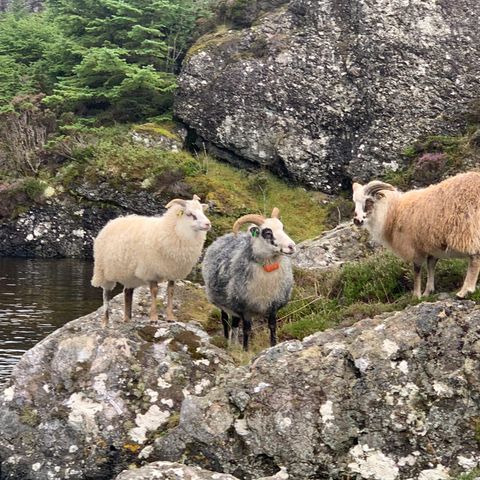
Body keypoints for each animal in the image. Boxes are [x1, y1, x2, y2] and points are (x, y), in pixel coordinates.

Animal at [91, 193, 210, 324]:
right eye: (190, 214)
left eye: (202, 211)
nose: (208, 224)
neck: (171, 230)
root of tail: (114, 220)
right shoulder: (151, 270)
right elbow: (154, 291)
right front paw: (153, 317)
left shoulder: (172, 271)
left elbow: (170, 291)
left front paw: (170, 317)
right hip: (102, 270)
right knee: (106, 294)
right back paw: (105, 321)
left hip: (129, 275)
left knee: (127, 292)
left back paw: (127, 319)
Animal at [201, 208, 294, 350]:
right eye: (267, 232)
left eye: (282, 228)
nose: (291, 246)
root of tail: (223, 237)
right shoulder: (245, 308)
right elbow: (247, 330)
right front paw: (246, 350)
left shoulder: (273, 304)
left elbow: (272, 326)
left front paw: (273, 345)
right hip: (222, 302)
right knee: (225, 321)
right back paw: (226, 341)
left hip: (234, 306)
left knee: (234, 323)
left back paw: (234, 344)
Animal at [350, 172, 480, 298]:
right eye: (355, 203)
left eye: (368, 201)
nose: (356, 220)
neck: (393, 213)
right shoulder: (430, 245)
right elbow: (431, 265)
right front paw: (428, 291)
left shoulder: (414, 247)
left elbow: (417, 270)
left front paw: (416, 295)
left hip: (466, 230)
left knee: (475, 258)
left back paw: (465, 291)